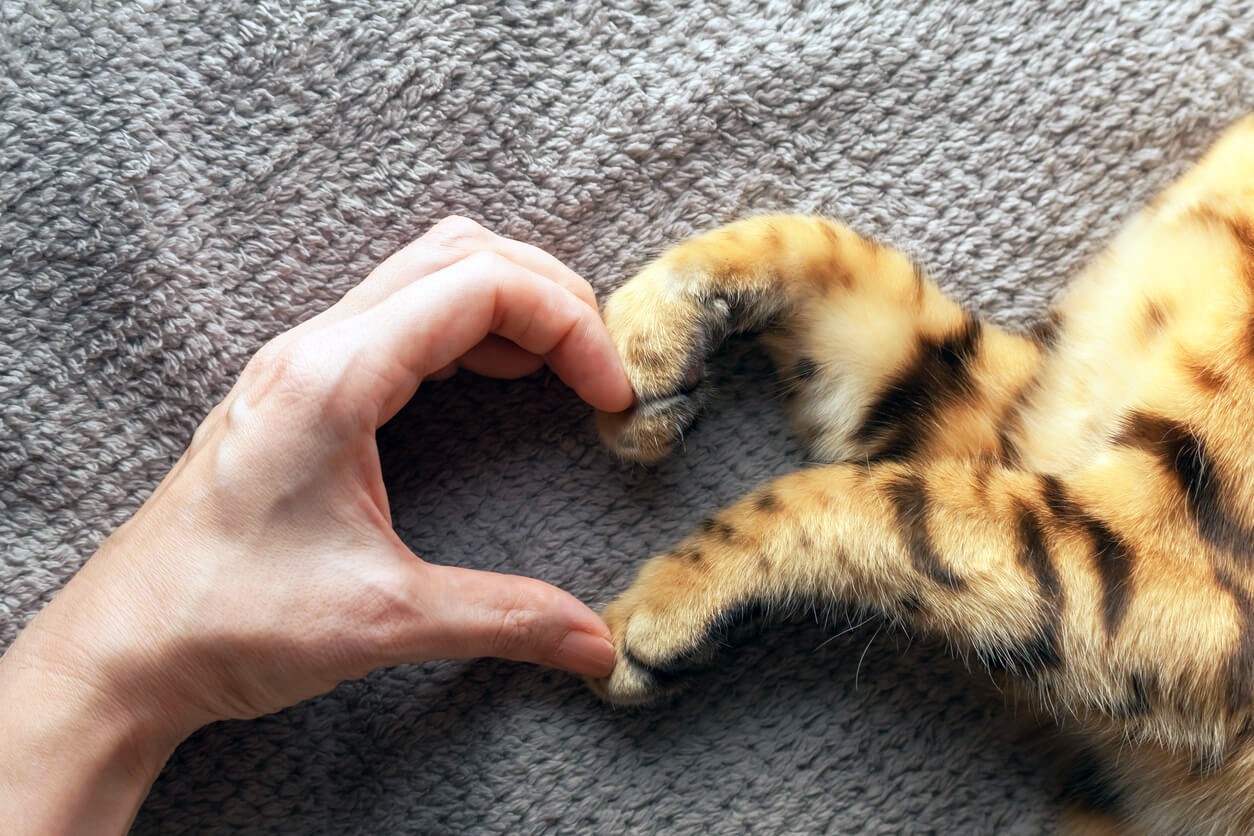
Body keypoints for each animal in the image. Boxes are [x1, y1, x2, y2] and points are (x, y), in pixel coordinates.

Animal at [586, 117, 1254, 836]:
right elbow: (823, 248)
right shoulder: (1028, 414)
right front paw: (651, 330)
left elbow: (866, 500)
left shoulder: (1169, 572)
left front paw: (664, 608)